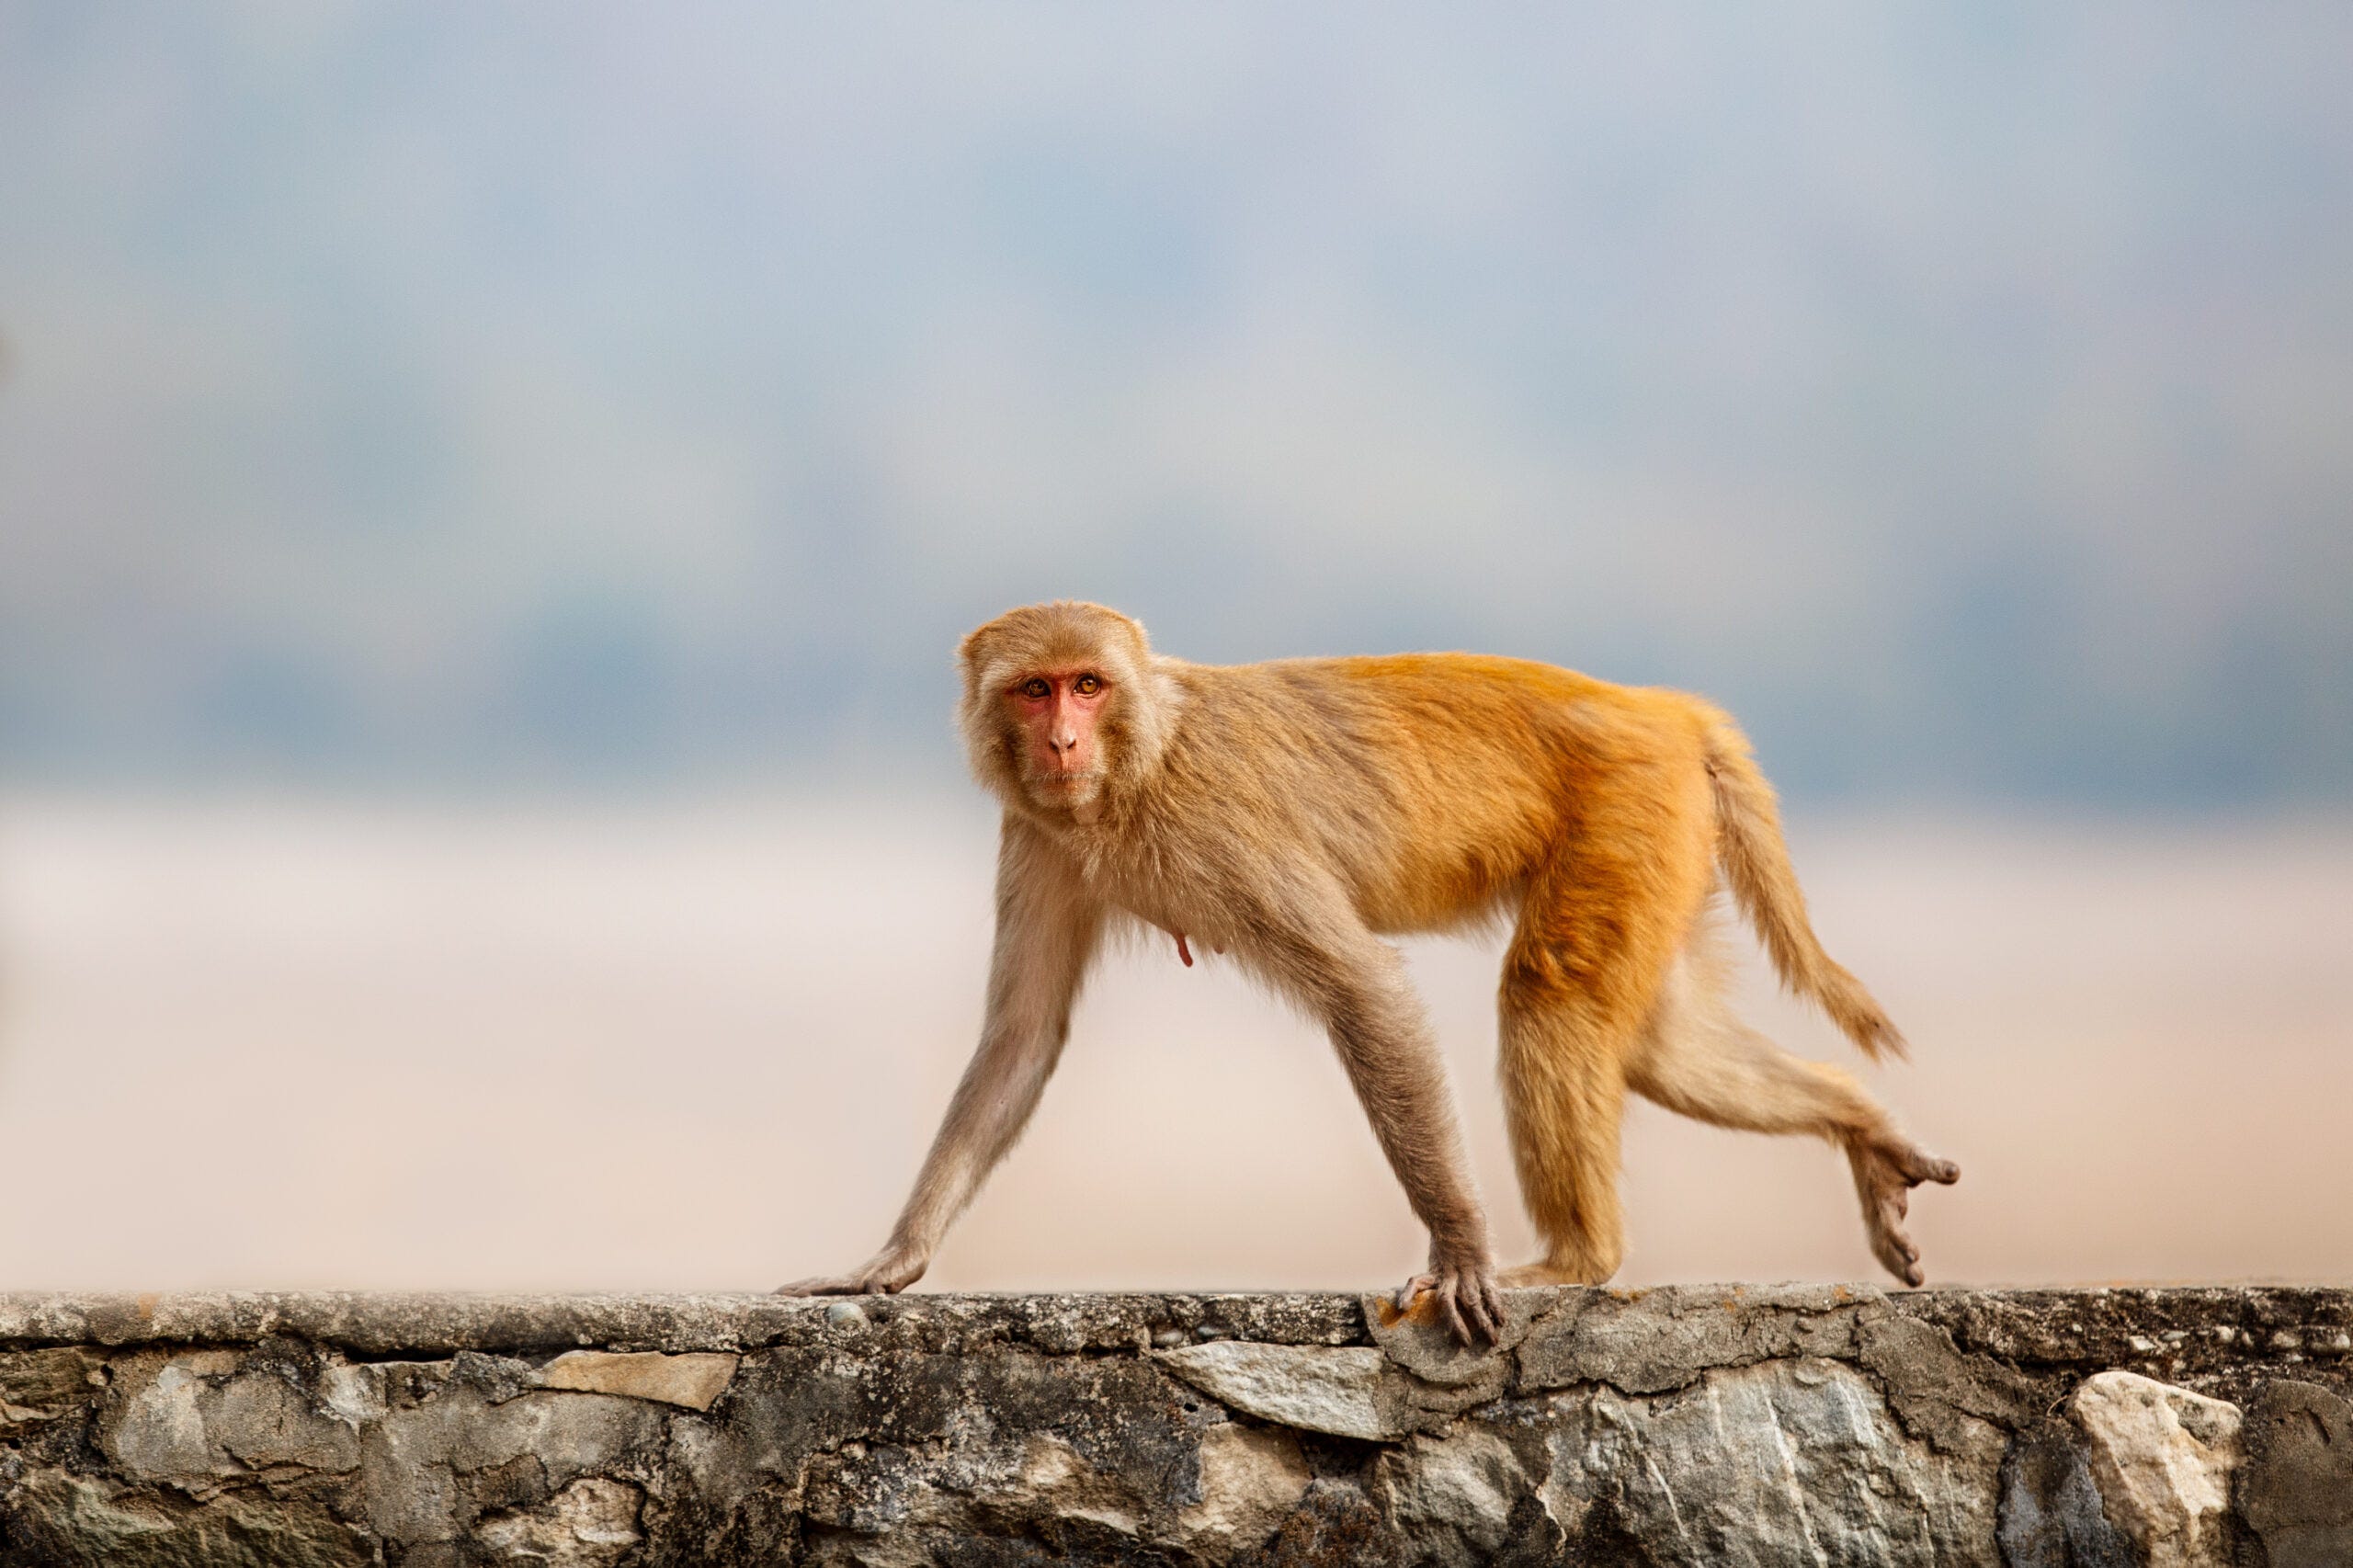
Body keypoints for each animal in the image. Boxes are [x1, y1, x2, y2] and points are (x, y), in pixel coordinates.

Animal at [783, 600, 1958, 1343]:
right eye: (1033, 690)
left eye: (1086, 684)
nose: (1064, 740)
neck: (1136, 764)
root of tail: (1663, 706)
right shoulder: (1038, 835)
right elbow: (1023, 1035)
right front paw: (893, 1257)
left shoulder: (1214, 828)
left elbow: (1361, 989)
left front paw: (1462, 1250)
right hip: (1659, 835)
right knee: (1658, 1045)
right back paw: (1859, 1123)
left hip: (1628, 803)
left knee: (1552, 993)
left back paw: (1575, 1256)